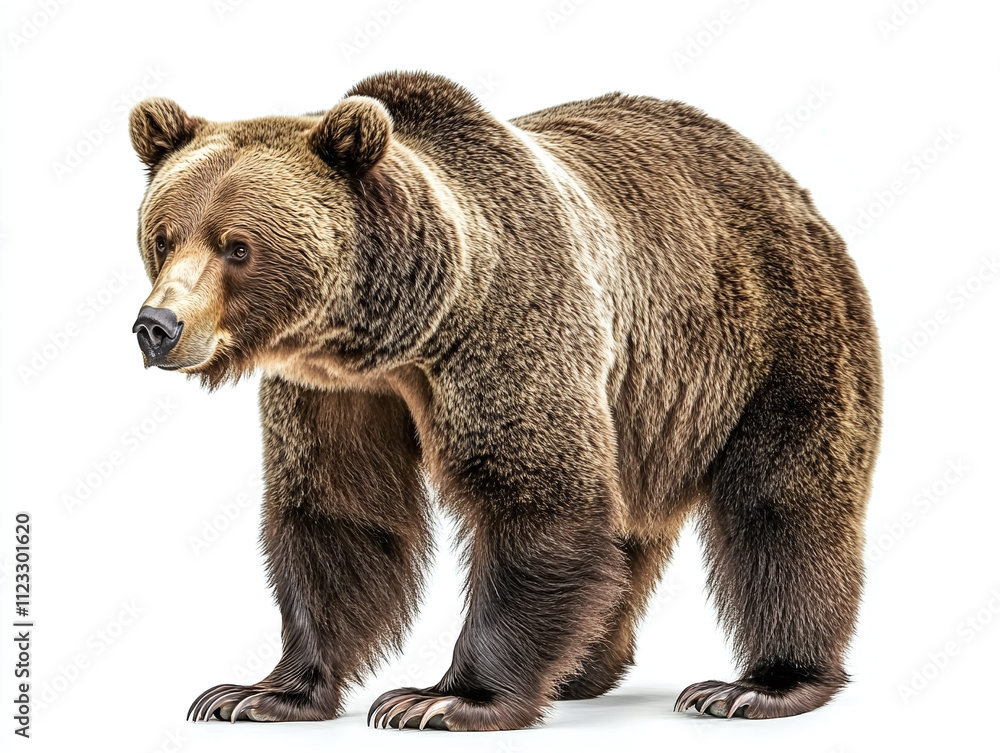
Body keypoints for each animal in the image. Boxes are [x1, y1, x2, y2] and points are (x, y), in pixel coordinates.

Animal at [128, 71, 881, 731]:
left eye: (236, 246)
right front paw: (258, 692)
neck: (397, 334)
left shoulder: (508, 328)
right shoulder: (333, 390)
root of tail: (781, 178)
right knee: (628, 534)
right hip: (646, 411)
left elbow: (536, 500)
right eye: (163, 236)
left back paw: (758, 684)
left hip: (772, 339)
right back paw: (581, 669)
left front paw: (442, 699)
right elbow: (340, 513)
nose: (157, 325)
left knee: (783, 505)